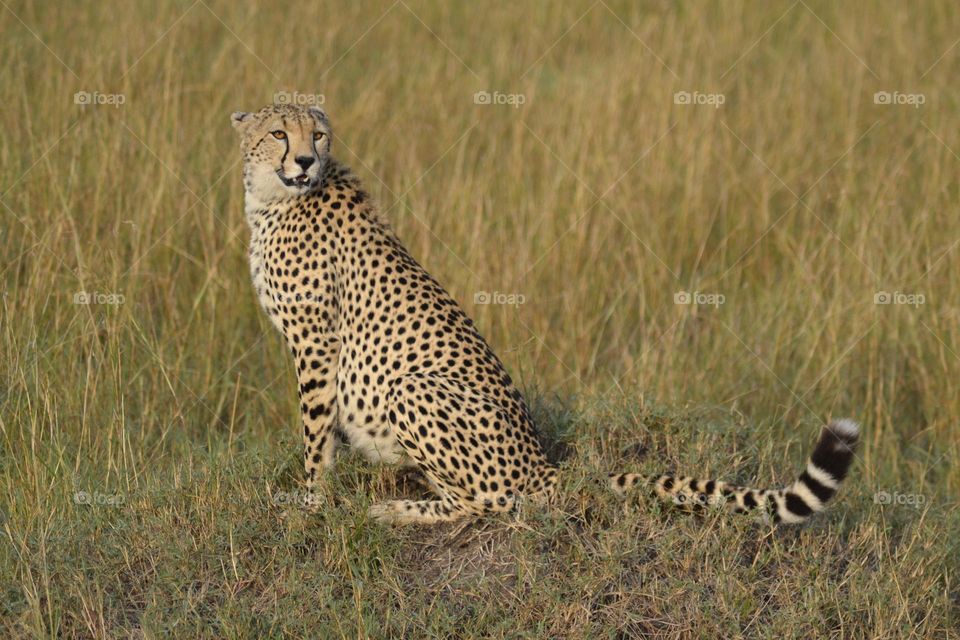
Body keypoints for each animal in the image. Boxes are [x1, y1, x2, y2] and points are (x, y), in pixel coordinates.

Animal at [231, 102, 859, 526]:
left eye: (317, 135)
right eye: (278, 133)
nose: (306, 160)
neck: (273, 198)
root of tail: (539, 461)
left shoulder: (315, 341)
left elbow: (314, 432)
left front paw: (311, 500)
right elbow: (325, 431)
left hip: (413, 388)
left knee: (486, 502)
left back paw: (399, 510)